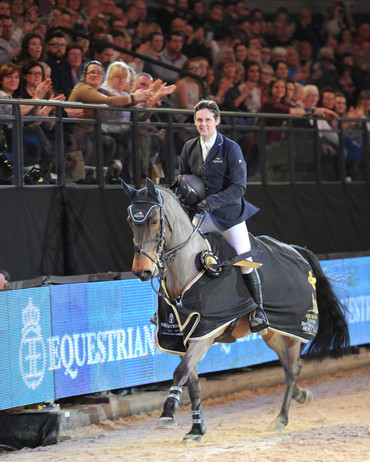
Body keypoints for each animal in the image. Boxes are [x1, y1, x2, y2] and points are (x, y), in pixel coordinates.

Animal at [122, 179, 350, 442]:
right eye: (130, 221)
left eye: (153, 221)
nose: (142, 271)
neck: (189, 268)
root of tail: (296, 251)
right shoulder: (182, 336)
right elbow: (192, 382)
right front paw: (196, 429)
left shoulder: (205, 333)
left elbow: (180, 373)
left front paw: (167, 415)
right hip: (272, 332)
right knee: (286, 366)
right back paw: (301, 396)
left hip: (293, 330)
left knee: (293, 369)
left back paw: (281, 418)